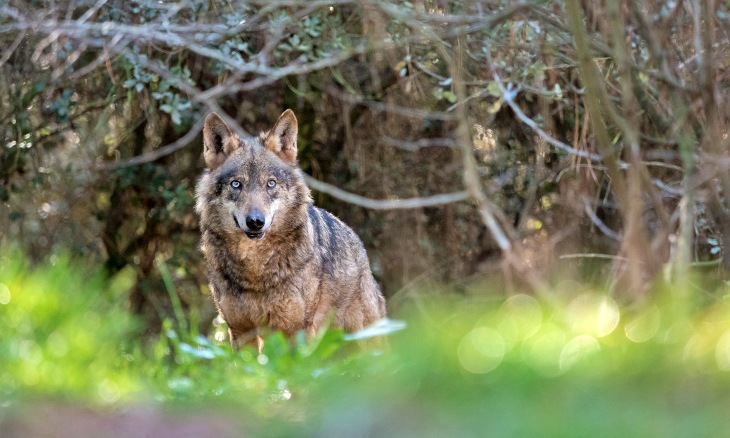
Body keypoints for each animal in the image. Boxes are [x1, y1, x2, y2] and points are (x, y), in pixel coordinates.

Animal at [195, 109, 386, 349]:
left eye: (271, 184)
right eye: (236, 184)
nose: (255, 221)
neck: (255, 269)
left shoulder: (294, 330)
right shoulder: (240, 331)